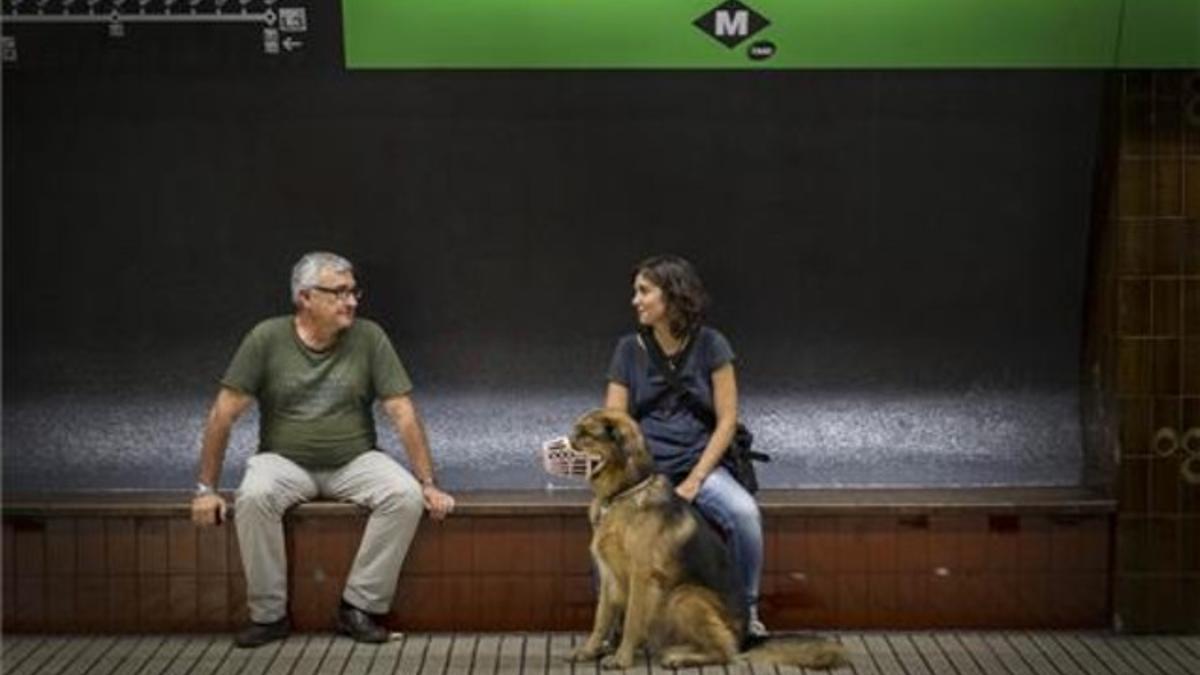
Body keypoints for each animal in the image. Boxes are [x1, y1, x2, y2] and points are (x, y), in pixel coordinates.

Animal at [568, 403, 844, 667]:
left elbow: (632, 621)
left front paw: (622, 658)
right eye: (576, 431)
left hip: (684, 596)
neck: (624, 492)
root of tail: (745, 639)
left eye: (585, 434)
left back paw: (679, 657)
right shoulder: (609, 575)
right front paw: (590, 650)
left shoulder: (642, 576)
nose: (565, 440)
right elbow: (601, 618)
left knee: (725, 652)